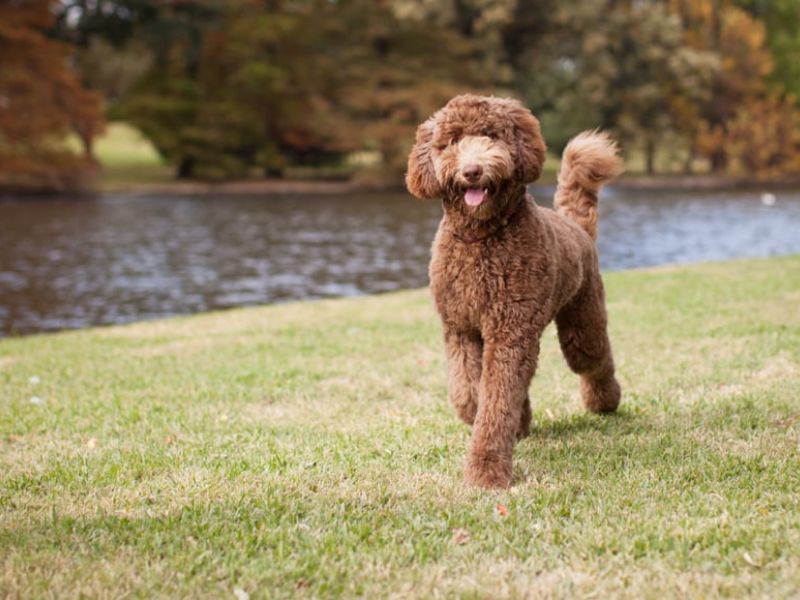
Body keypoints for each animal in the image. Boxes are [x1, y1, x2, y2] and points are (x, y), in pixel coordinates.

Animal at [404, 94, 620, 488]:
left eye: (491, 135)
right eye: (452, 141)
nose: (472, 170)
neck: (480, 237)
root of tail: (574, 225)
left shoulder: (509, 330)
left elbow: (497, 401)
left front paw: (486, 470)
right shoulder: (460, 327)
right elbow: (468, 393)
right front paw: (499, 418)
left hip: (582, 321)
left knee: (594, 361)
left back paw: (606, 402)